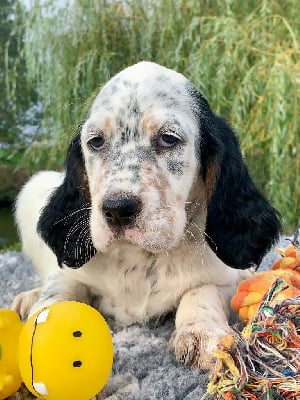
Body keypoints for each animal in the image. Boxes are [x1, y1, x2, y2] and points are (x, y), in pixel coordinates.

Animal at [14, 61, 282, 370]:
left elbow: (202, 291)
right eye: (95, 142)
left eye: (168, 139)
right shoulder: (72, 273)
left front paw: (202, 333)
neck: (140, 257)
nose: (117, 209)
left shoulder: (226, 278)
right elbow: (57, 292)